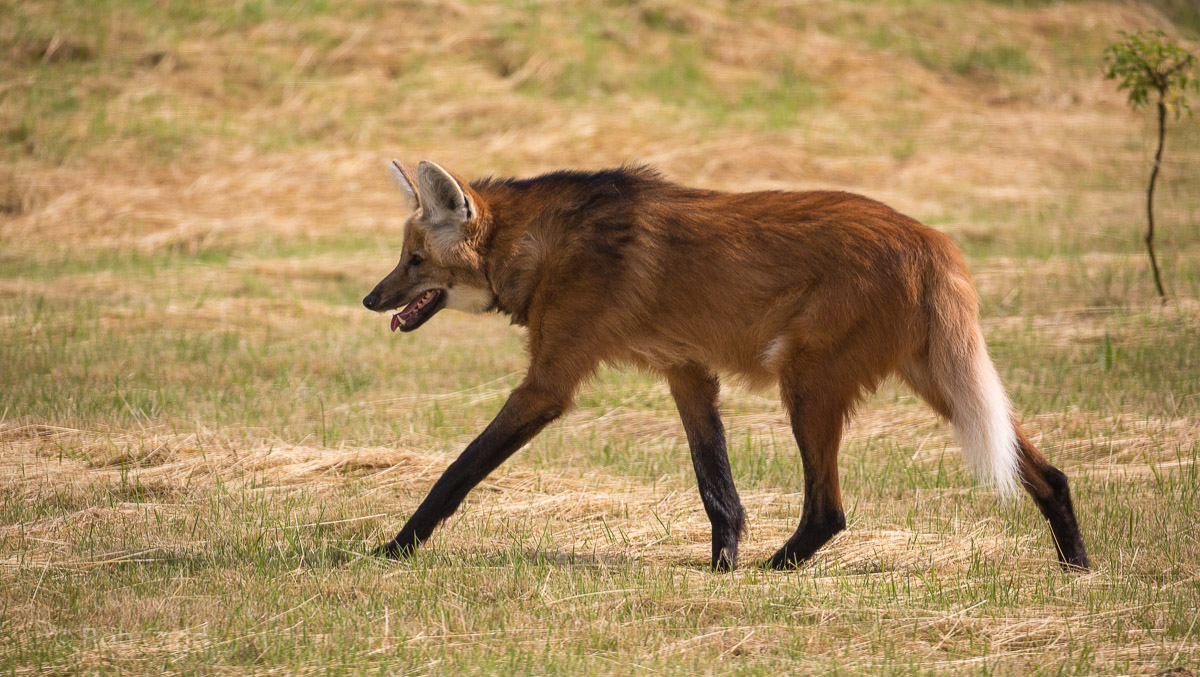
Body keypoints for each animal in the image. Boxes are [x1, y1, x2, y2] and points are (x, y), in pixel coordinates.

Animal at [362, 159, 1089, 571]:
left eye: (414, 261)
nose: (370, 298)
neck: (544, 246)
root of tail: (934, 239)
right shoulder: (686, 370)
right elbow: (716, 484)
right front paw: (722, 561)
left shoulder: (548, 386)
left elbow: (456, 472)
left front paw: (395, 546)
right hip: (937, 381)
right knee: (1048, 473)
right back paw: (1077, 565)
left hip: (807, 382)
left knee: (829, 509)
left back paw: (781, 565)